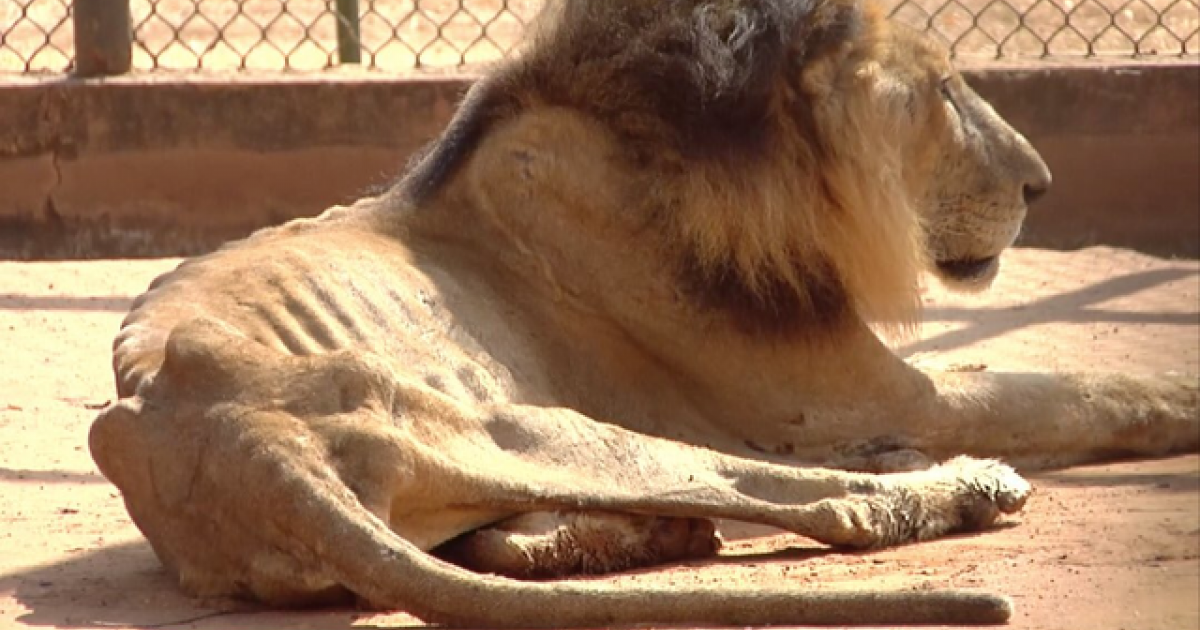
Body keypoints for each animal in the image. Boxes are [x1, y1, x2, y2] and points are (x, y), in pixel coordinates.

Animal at [87, 0, 1200, 624]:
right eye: (945, 90)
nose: (1043, 183)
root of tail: (240, 447)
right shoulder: (865, 395)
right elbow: (1081, 388)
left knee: (523, 539)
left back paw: (639, 540)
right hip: (532, 421)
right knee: (811, 501)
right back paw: (959, 485)